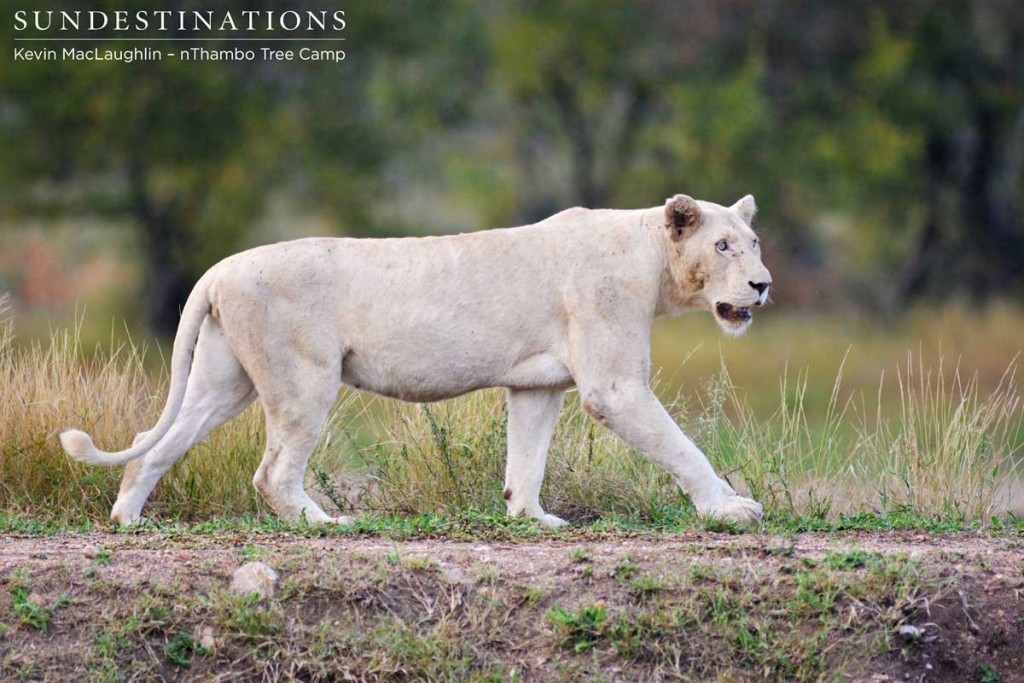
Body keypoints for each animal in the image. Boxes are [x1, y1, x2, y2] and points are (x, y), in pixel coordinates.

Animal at [59, 194, 770, 528]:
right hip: (304, 379)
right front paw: (731, 509)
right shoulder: (613, 386)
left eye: (755, 242)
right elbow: (681, 446)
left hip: (222, 382)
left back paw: (126, 520)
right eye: (723, 245)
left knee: (154, 446)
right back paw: (328, 525)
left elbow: (527, 459)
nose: (762, 285)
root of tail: (218, 269)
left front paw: (531, 517)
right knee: (272, 472)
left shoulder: (539, 386)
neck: (654, 262)